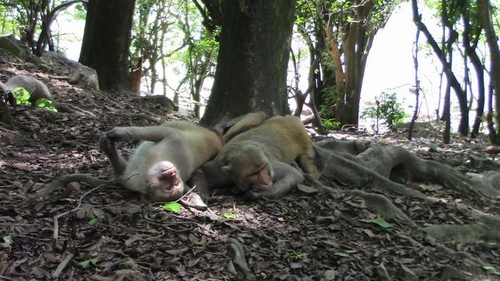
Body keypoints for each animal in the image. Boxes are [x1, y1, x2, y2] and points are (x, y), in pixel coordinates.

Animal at [193, 115, 322, 200]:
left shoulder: (271, 166)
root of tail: (290, 118)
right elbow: (200, 170)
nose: (265, 180)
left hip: (303, 138)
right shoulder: (220, 170)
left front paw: (258, 194)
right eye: (253, 174)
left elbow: (294, 174)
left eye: (263, 168)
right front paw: (202, 192)